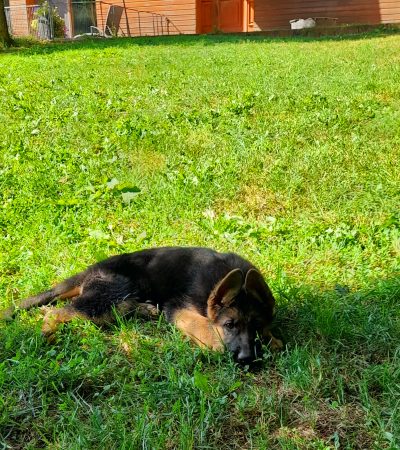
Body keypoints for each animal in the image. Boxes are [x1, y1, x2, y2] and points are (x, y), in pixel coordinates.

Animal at [0, 248, 282, 364]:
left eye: (256, 326)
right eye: (229, 324)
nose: (247, 359)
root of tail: (91, 270)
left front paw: (272, 339)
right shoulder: (179, 307)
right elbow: (202, 326)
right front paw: (215, 344)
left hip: (111, 302)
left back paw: (145, 310)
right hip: (108, 295)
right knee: (59, 310)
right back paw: (47, 332)